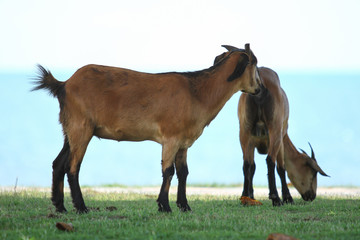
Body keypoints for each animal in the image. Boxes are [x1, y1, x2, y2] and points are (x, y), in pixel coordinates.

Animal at [33, 44, 262, 213]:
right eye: (255, 63)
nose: (260, 88)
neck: (197, 93)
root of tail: (64, 85)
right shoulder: (171, 137)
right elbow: (168, 170)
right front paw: (164, 206)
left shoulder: (183, 142)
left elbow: (184, 172)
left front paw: (184, 206)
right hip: (82, 127)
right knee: (72, 166)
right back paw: (81, 207)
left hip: (70, 128)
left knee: (58, 163)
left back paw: (60, 207)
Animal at [214, 45, 330, 206]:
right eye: (313, 173)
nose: (312, 195)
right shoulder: (280, 136)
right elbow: (281, 167)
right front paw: (287, 197)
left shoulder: (253, 140)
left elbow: (251, 166)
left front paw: (250, 195)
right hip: (274, 129)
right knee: (270, 160)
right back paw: (275, 198)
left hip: (244, 129)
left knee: (246, 163)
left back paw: (245, 197)